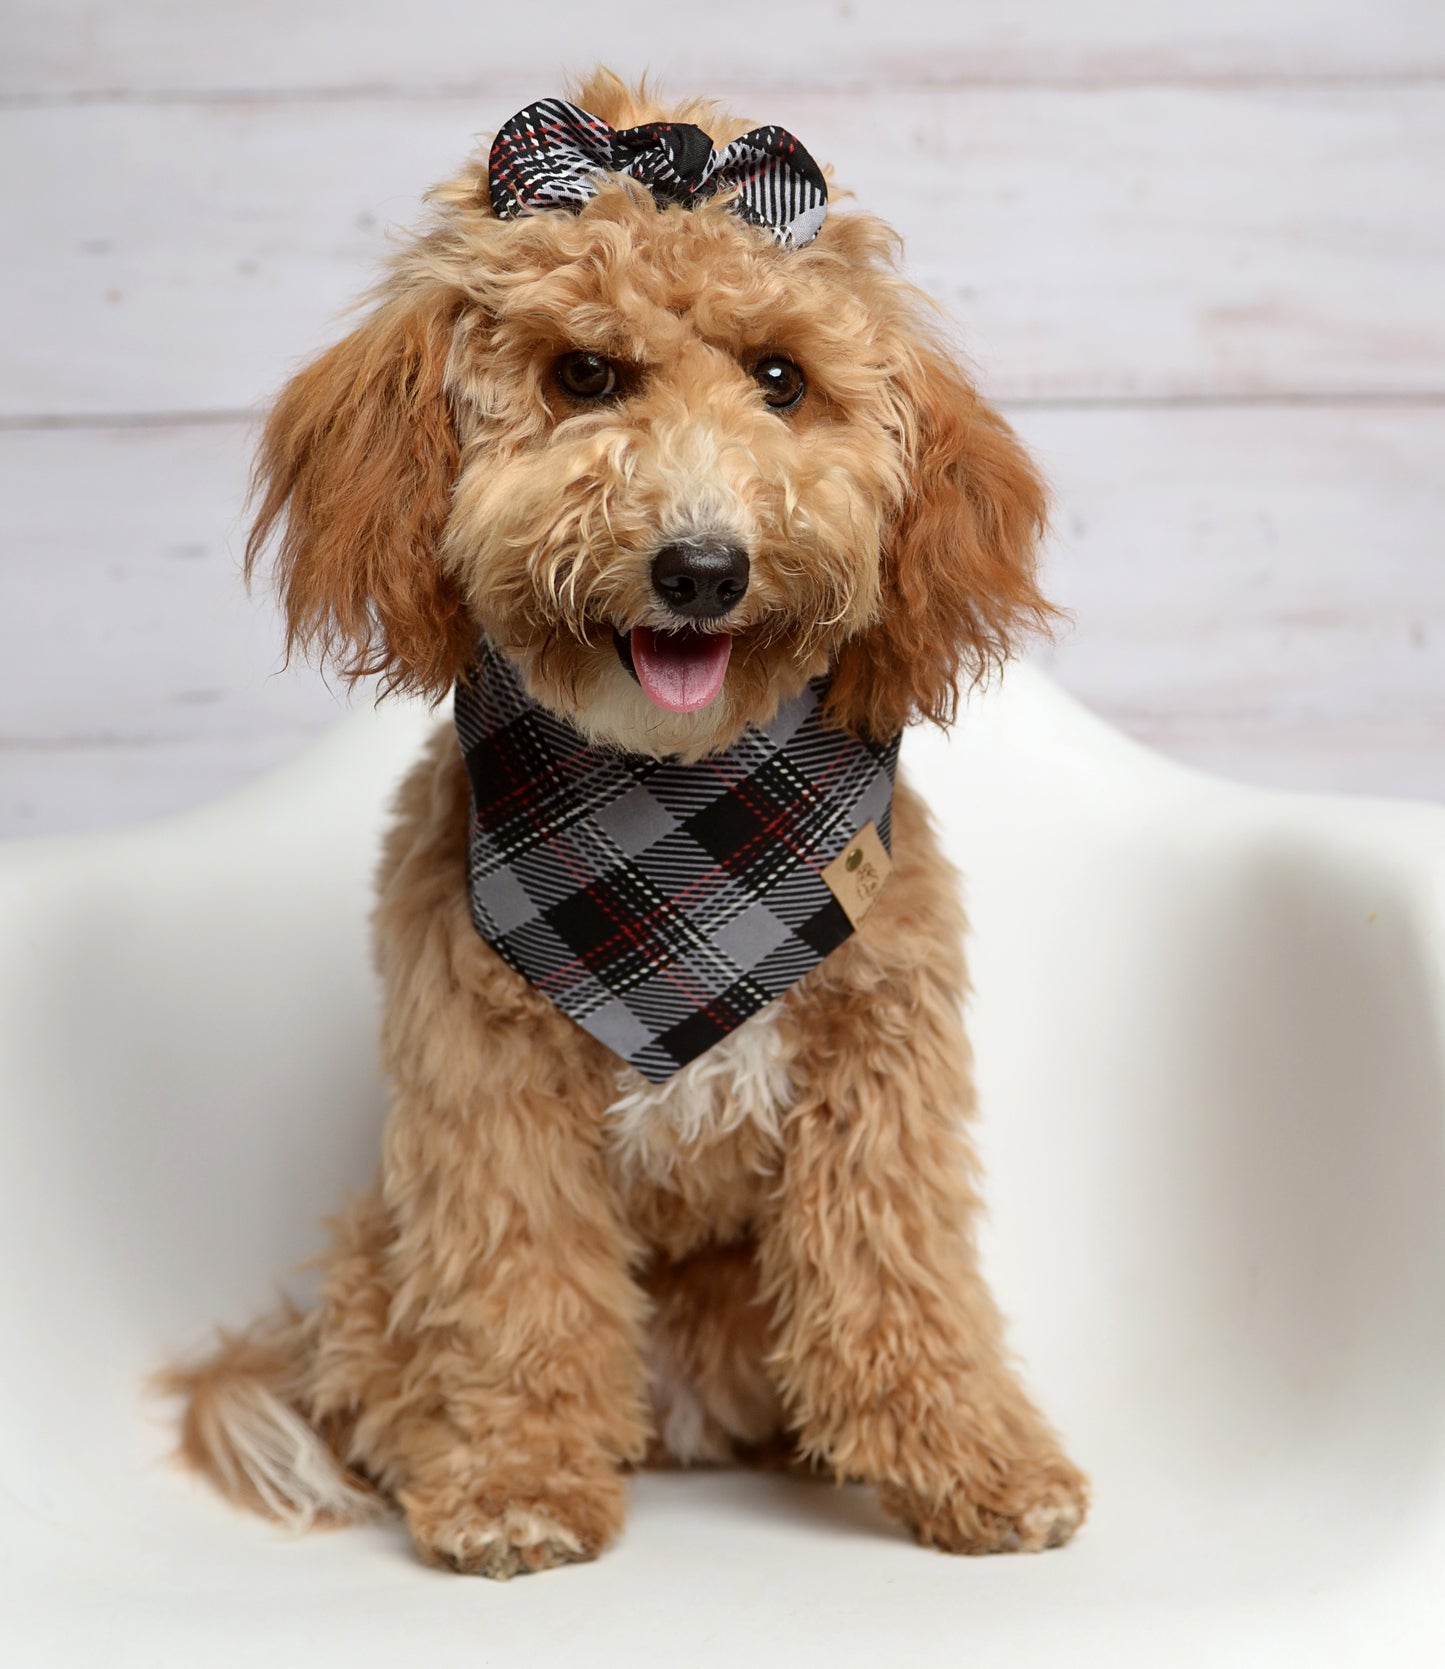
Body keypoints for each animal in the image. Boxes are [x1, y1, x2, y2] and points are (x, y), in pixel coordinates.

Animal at [168, 68, 1087, 1575]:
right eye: (583, 376)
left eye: (780, 378)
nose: (700, 567)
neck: (683, 832)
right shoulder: (488, 1090)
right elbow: (517, 1288)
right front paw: (515, 1482)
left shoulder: (880, 1067)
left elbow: (902, 1276)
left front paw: (976, 1463)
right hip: (378, 1251)